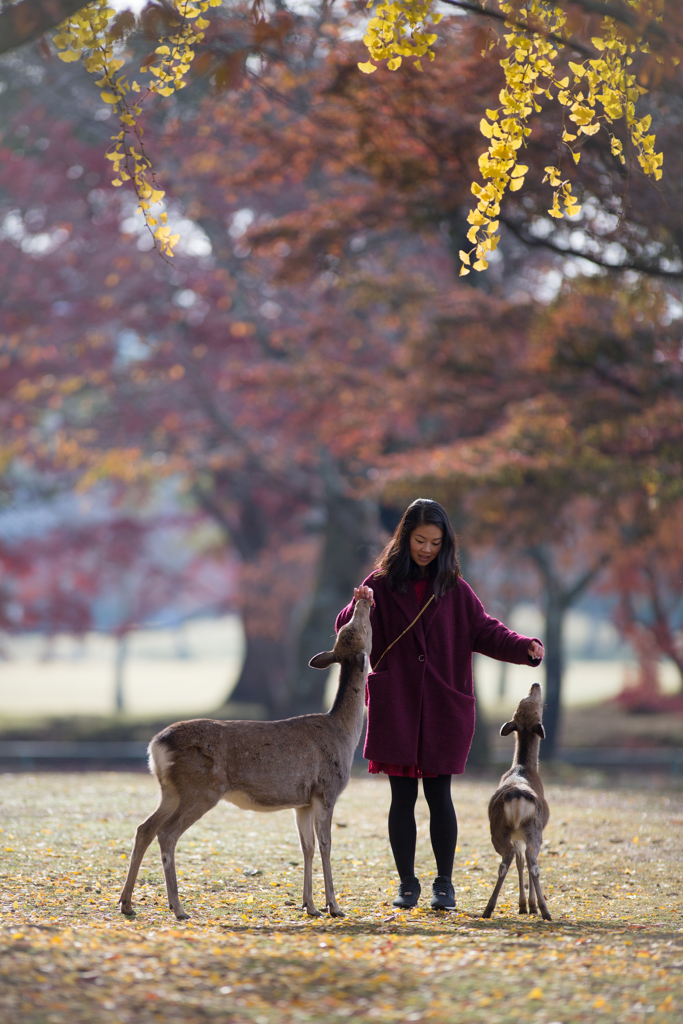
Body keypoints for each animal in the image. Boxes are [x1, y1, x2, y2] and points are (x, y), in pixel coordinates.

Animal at [118, 593, 374, 921]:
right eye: (357, 626)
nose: (362, 601)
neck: (344, 733)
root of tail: (155, 746)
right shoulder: (326, 791)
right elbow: (326, 845)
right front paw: (334, 906)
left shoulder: (302, 801)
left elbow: (307, 847)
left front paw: (310, 905)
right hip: (200, 789)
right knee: (167, 833)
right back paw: (178, 908)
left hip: (170, 791)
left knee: (144, 828)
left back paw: (127, 903)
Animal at [483, 684, 552, 925]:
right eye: (538, 705)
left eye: (523, 702)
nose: (536, 685)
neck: (523, 767)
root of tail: (517, 798)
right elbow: (525, 864)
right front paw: (529, 906)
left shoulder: (516, 835)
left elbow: (520, 864)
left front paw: (523, 905)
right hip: (534, 829)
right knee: (531, 861)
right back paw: (545, 910)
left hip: (500, 828)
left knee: (510, 859)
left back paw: (488, 908)